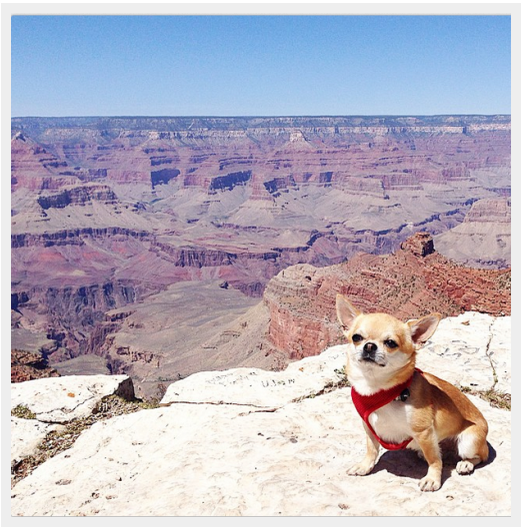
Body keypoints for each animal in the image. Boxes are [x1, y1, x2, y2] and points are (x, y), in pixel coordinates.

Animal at [336, 294, 486, 492]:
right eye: (356, 337)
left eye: (391, 343)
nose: (369, 346)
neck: (378, 390)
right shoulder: (368, 426)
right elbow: (372, 449)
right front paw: (365, 465)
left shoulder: (424, 432)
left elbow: (435, 461)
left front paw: (432, 479)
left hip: (469, 441)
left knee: (478, 456)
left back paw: (465, 464)